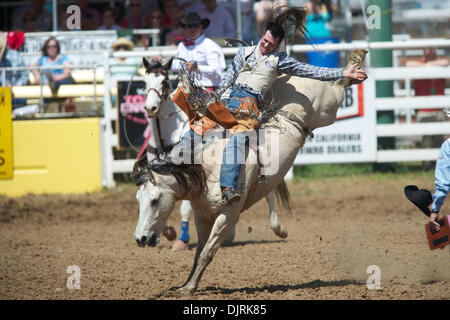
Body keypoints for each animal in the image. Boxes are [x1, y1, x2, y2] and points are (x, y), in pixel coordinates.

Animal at [141, 58, 288, 251]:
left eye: (164, 81)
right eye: (145, 82)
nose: (150, 108)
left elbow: (185, 207)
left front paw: (182, 239)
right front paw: (166, 231)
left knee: (268, 192)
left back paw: (278, 228)